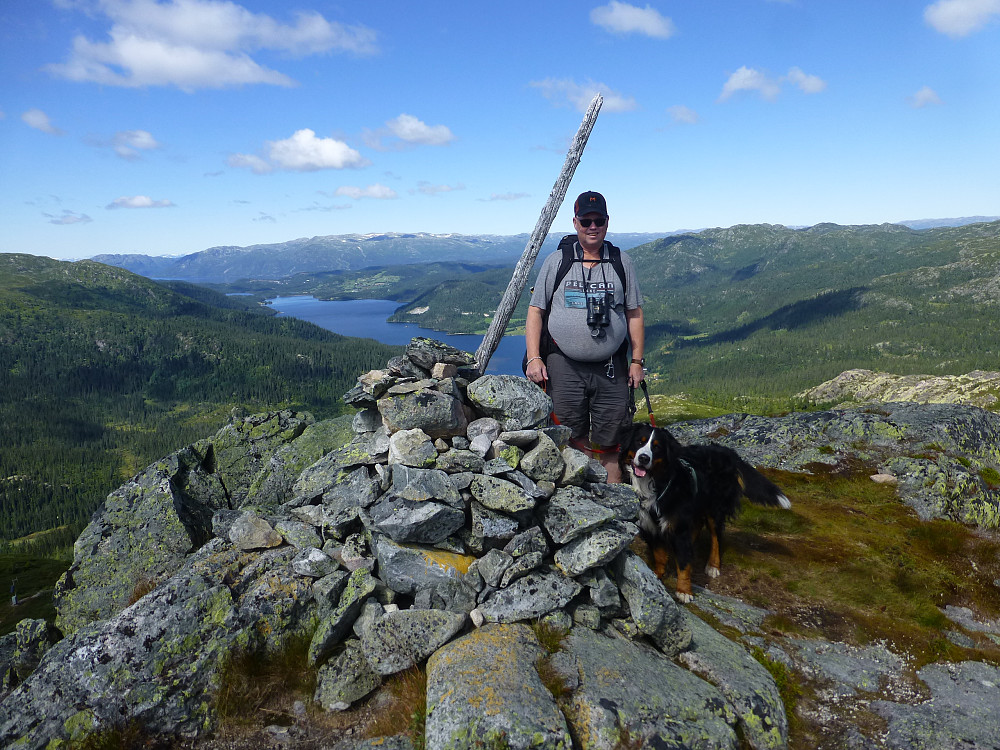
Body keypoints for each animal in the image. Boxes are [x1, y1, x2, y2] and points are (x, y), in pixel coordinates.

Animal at [616, 424, 788, 604]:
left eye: (656, 447)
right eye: (639, 442)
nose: (643, 458)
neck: (654, 483)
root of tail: (727, 452)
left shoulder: (679, 525)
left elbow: (684, 563)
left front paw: (684, 591)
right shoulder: (649, 524)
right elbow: (660, 554)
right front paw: (657, 575)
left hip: (714, 508)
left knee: (716, 537)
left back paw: (713, 565)